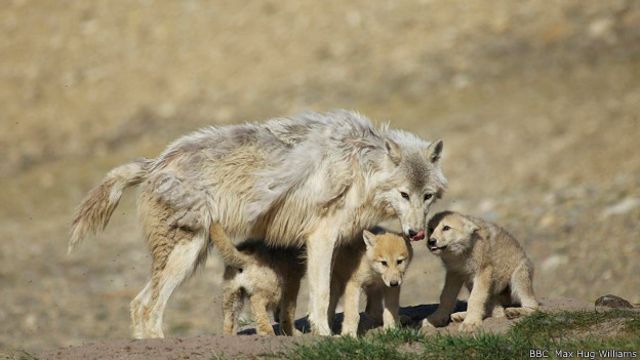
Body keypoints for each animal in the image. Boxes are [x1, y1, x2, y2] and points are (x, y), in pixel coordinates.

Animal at [69, 109, 444, 338]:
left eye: (427, 196)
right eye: (404, 194)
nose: (416, 233)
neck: (361, 164)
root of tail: (155, 162)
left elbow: (336, 293)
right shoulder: (320, 236)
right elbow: (321, 294)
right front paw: (325, 334)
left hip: (187, 256)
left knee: (137, 303)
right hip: (185, 256)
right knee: (149, 306)